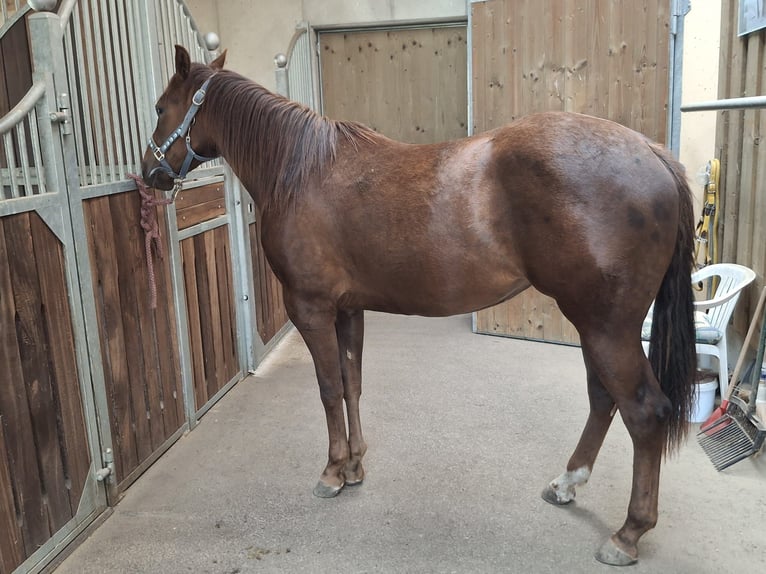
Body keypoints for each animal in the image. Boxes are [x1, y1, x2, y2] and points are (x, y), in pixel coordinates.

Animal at [142, 45, 696, 566]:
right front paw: (356, 466)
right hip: (595, 324)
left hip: (607, 327)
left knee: (644, 412)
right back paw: (566, 483)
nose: (149, 174)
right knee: (603, 399)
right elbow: (352, 383)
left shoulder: (311, 309)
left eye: (161, 107)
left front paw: (332, 472)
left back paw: (627, 534)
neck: (299, 172)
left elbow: (328, 389)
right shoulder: (348, 310)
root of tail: (652, 153)